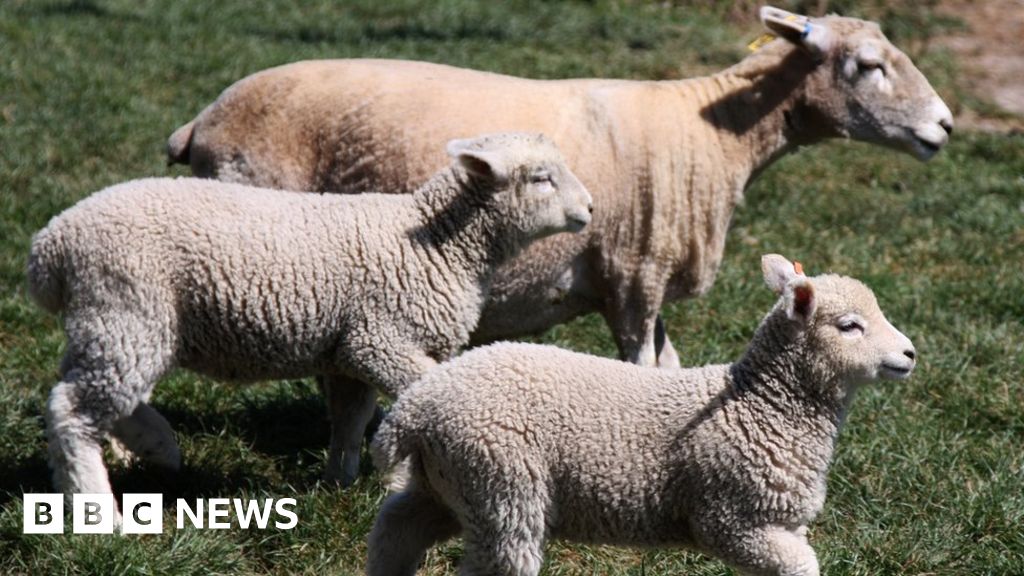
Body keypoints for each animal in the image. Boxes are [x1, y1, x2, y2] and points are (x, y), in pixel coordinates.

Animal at [25, 131, 593, 494]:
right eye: (541, 178)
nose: (590, 210)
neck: (435, 242)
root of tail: (52, 245)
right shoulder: (379, 339)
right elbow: (417, 393)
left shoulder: (348, 350)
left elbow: (350, 419)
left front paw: (339, 482)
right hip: (127, 310)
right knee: (72, 409)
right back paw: (98, 505)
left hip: (111, 323)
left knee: (91, 389)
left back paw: (156, 446)